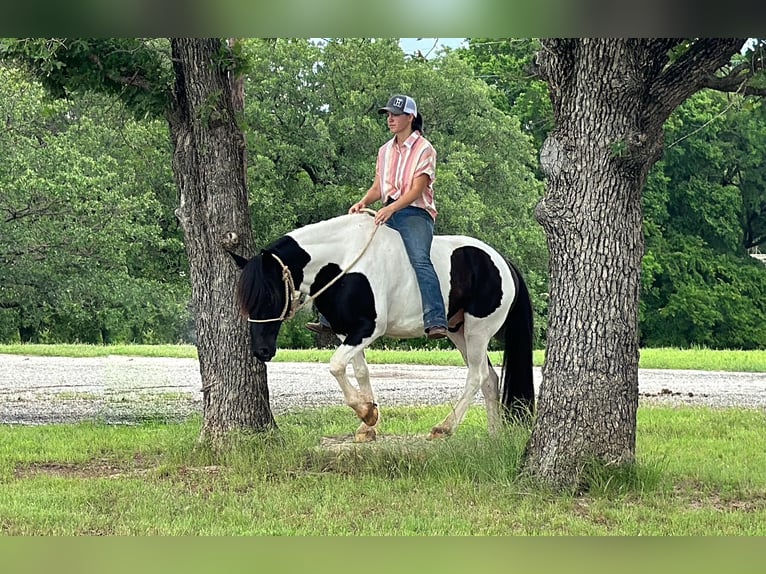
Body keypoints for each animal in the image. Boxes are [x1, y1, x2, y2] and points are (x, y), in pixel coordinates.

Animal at [231, 214, 536, 444]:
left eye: (270, 296)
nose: (261, 351)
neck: (343, 262)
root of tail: (503, 262)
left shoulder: (368, 329)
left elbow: (336, 366)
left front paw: (367, 414)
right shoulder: (346, 332)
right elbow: (360, 372)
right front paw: (368, 424)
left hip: (478, 331)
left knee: (476, 375)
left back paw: (444, 428)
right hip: (458, 331)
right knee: (490, 379)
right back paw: (494, 435)